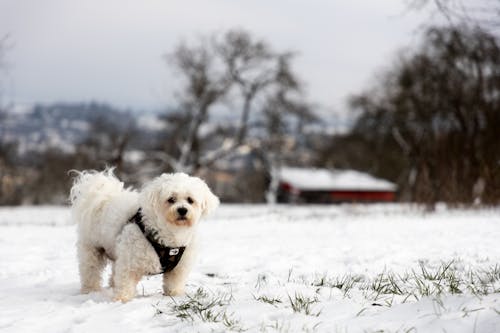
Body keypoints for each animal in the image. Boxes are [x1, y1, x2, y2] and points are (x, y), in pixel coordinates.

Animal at [68, 169, 219, 300]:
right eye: (171, 199)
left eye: (190, 200)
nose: (182, 210)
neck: (171, 235)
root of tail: (104, 197)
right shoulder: (130, 262)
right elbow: (125, 282)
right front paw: (121, 300)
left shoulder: (178, 268)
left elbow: (174, 283)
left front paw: (174, 296)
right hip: (92, 250)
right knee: (90, 271)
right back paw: (90, 290)